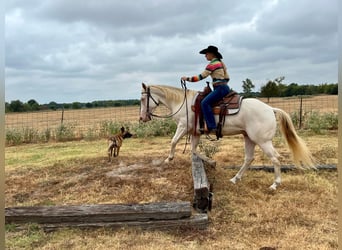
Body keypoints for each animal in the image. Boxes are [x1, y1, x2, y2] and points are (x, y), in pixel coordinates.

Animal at [139, 82, 316, 189]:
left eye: (142, 99)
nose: (142, 118)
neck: (183, 103)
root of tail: (271, 109)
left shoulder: (183, 126)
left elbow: (173, 141)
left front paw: (168, 159)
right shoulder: (195, 132)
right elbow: (194, 150)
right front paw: (207, 160)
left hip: (263, 141)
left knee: (275, 158)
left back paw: (275, 184)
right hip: (249, 138)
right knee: (249, 159)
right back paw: (235, 178)